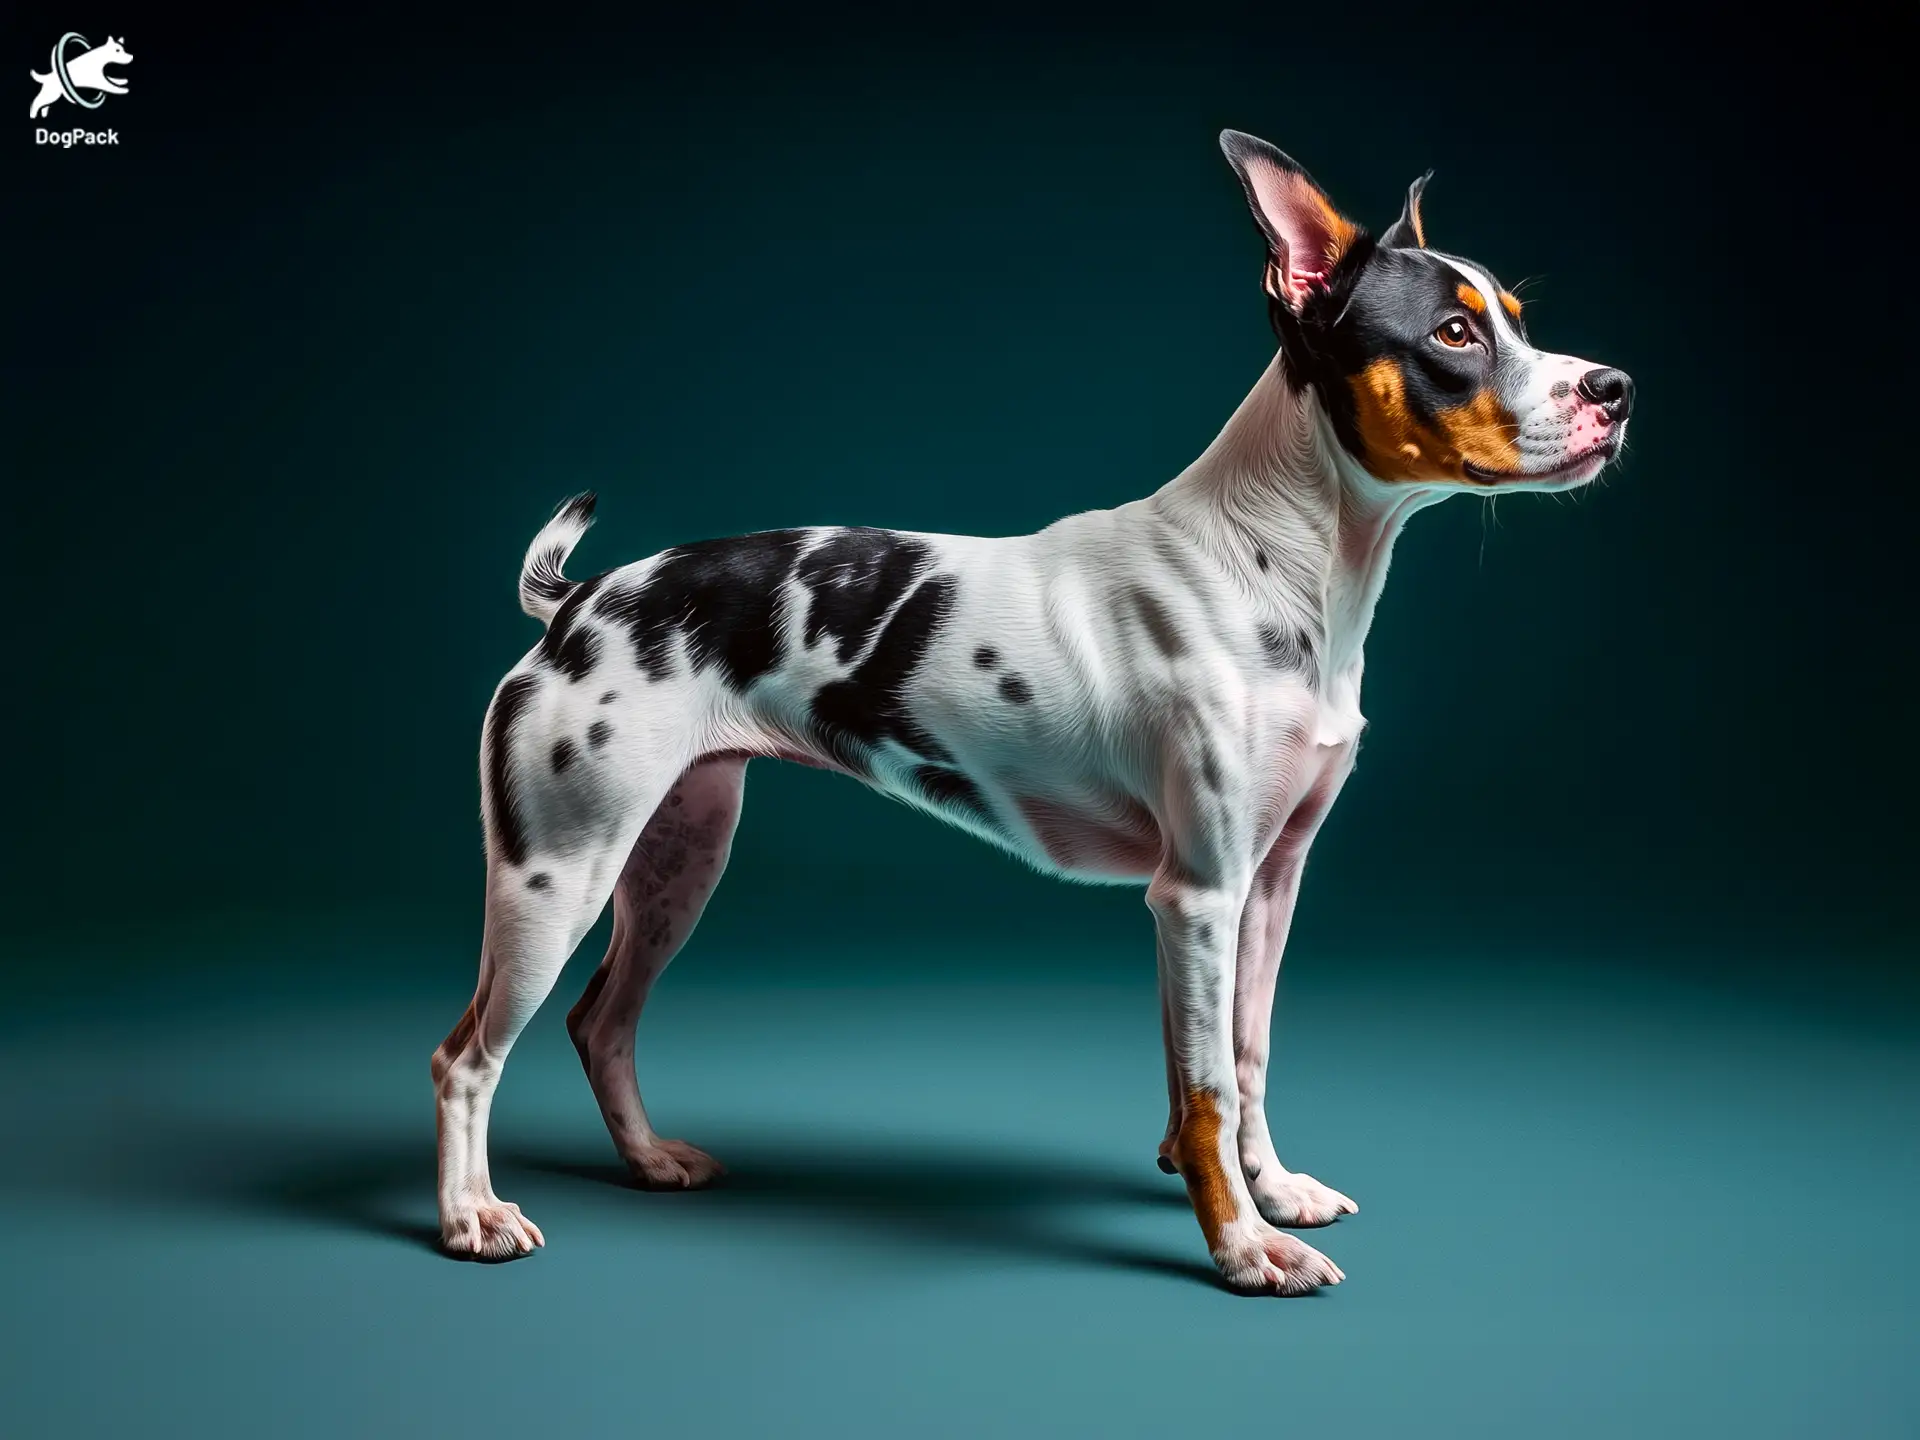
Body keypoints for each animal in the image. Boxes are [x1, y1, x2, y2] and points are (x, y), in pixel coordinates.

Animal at [435, 126, 1635, 1297]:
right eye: (1453, 333)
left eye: (1519, 319)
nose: (1617, 387)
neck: (1275, 564)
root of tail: (582, 601)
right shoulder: (1197, 897)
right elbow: (1206, 1091)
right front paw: (1243, 1250)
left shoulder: (1267, 886)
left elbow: (1240, 1064)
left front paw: (1273, 1193)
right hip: (558, 876)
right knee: (467, 1058)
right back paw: (470, 1216)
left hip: (675, 858)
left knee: (602, 1023)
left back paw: (647, 1160)